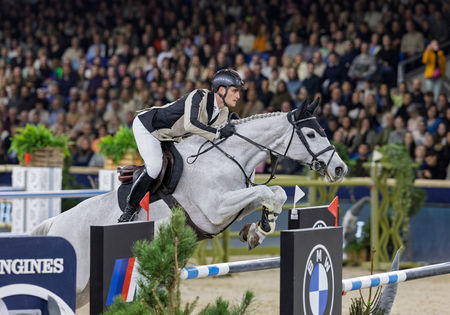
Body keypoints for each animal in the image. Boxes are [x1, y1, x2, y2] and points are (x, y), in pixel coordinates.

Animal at [32, 99, 348, 308]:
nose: (340, 169)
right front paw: (259, 229)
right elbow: (267, 193)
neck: (227, 156)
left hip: (83, 290)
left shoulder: (233, 204)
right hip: (77, 281)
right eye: (311, 133)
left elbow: (274, 194)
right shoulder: (215, 209)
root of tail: (55, 222)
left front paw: (257, 230)